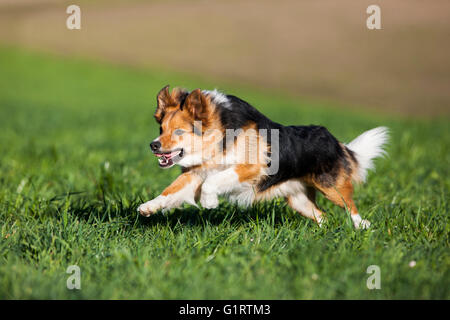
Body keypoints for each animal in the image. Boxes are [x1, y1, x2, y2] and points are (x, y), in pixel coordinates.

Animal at [137, 86, 386, 229]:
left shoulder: (251, 167)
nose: (153, 145)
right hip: (298, 200)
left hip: (331, 188)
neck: (220, 134)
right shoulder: (196, 173)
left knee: (350, 206)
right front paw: (148, 207)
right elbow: (170, 191)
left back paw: (362, 226)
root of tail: (336, 141)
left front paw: (210, 202)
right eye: (161, 129)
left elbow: (213, 182)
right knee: (322, 216)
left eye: (179, 132)